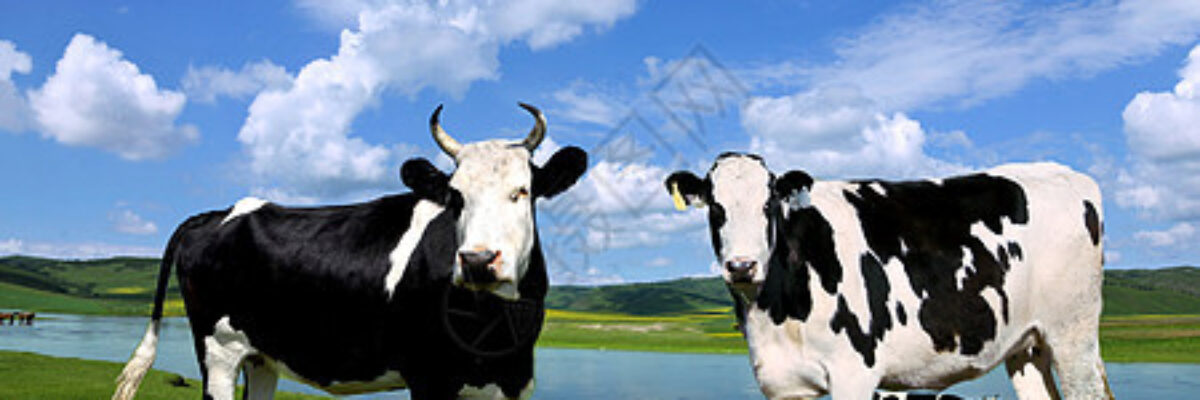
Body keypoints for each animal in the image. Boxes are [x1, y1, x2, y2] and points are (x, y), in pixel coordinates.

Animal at [112, 103, 588, 400]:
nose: (477, 260)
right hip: (218, 350)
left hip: (261, 357)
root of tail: (222, 211)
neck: (494, 331)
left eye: (523, 191)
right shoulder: (430, 377)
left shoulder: (516, 382)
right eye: (455, 197)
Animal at [666, 153, 1112, 399]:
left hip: (1072, 333)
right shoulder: (782, 383)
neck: (776, 311)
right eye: (716, 208)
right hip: (1025, 343)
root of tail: (1068, 174)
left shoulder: (855, 373)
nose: (742, 266)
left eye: (768, 205)